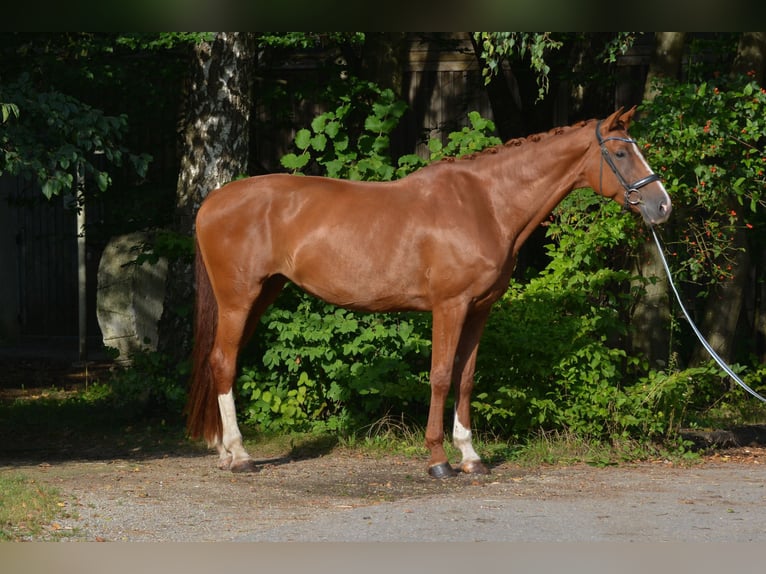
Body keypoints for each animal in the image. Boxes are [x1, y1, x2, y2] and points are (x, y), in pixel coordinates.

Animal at [186, 106, 672, 480]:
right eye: (621, 152)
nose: (663, 205)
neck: (485, 203)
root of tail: (212, 202)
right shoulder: (449, 307)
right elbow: (440, 375)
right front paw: (438, 460)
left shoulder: (479, 310)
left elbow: (466, 378)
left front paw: (471, 457)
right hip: (238, 299)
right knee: (224, 362)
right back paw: (240, 455)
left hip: (262, 295)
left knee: (220, 362)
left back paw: (225, 451)